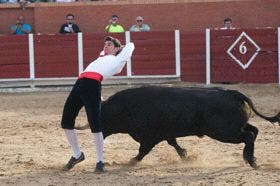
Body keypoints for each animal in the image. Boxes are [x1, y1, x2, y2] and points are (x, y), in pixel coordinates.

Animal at [75, 86, 278, 168]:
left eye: (101, 119)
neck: (125, 107)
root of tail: (232, 93)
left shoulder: (149, 137)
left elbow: (142, 151)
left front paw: (130, 161)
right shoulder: (164, 133)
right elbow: (173, 143)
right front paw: (186, 156)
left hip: (224, 132)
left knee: (248, 136)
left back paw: (251, 161)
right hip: (234, 127)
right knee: (254, 131)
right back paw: (249, 157)